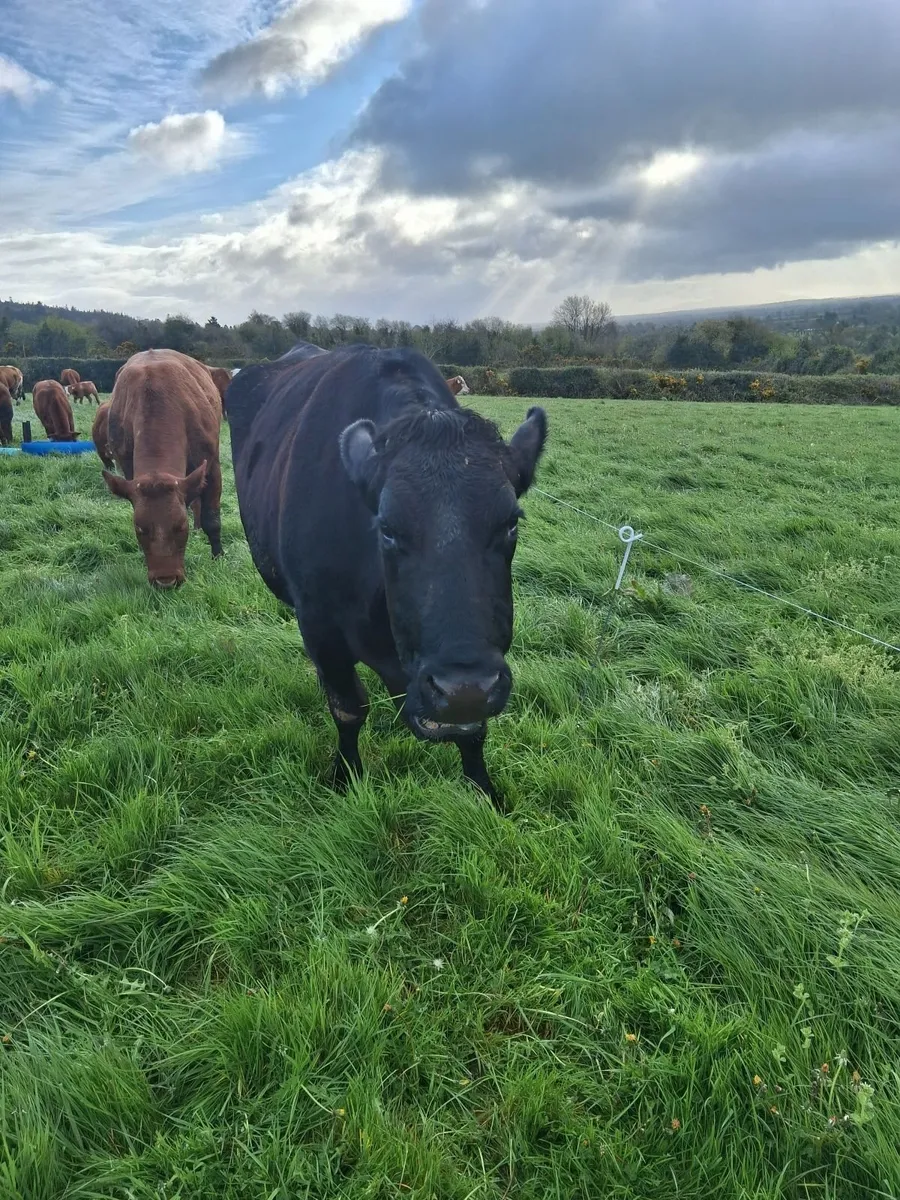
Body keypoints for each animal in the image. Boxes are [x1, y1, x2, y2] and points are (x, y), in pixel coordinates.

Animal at [102, 349, 223, 589]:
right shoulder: (128, 470)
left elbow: (212, 519)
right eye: (140, 528)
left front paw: (219, 557)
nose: (165, 581)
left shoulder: (212, 465)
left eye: (181, 526)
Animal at [226, 342, 547, 805]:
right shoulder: (318, 621)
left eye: (510, 523)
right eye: (388, 528)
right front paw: (345, 775)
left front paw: (483, 792)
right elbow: (347, 708)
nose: (464, 689)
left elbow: (473, 731)